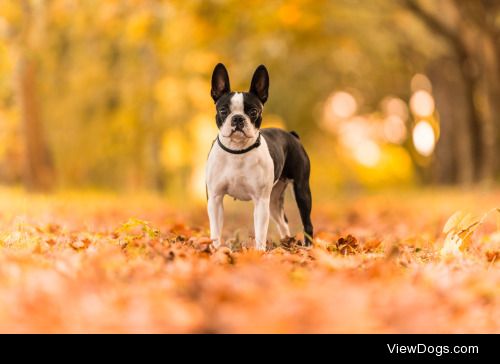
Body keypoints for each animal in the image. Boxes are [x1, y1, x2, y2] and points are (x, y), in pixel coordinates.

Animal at [205, 63, 310, 250]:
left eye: (253, 111)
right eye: (223, 110)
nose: (238, 118)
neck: (238, 151)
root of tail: (292, 136)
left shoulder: (261, 202)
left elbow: (260, 233)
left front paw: (259, 252)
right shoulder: (215, 199)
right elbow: (215, 231)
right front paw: (215, 250)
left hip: (301, 190)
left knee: (307, 224)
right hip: (274, 201)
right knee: (283, 222)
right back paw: (287, 243)